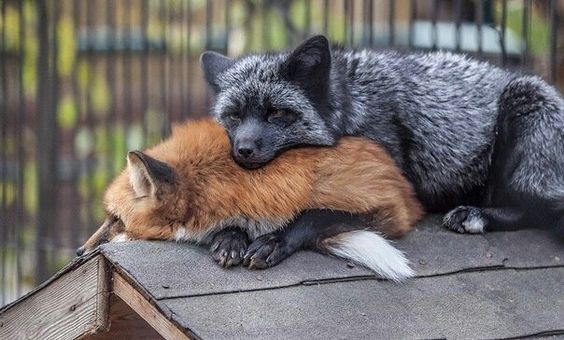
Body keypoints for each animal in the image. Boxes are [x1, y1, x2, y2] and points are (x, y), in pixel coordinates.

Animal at [78, 118, 424, 280]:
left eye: (116, 220)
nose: (79, 253)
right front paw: (231, 239)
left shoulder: (391, 206)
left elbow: (315, 216)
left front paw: (272, 242)